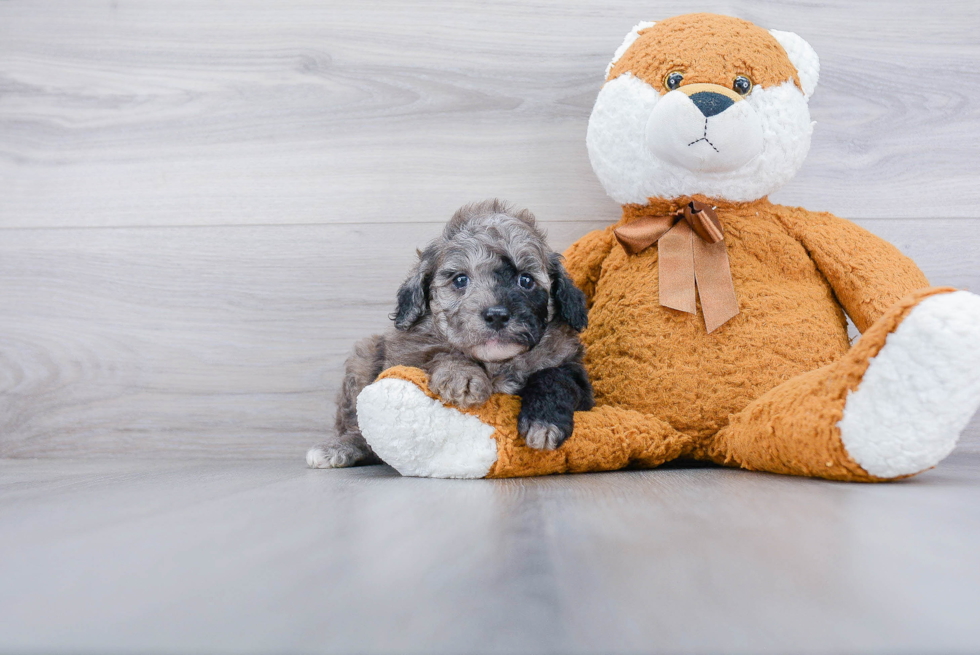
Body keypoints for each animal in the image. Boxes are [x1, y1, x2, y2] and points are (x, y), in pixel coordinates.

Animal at [310, 197, 592, 468]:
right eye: (460, 280)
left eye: (526, 280)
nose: (497, 315)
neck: (496, 363)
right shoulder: (407, 355)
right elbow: (440, 352)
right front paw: (462, 376)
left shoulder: (578, 380)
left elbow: (555, 377)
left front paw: (543, 422)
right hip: (364, 357)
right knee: (361, 431)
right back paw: (337, 448)